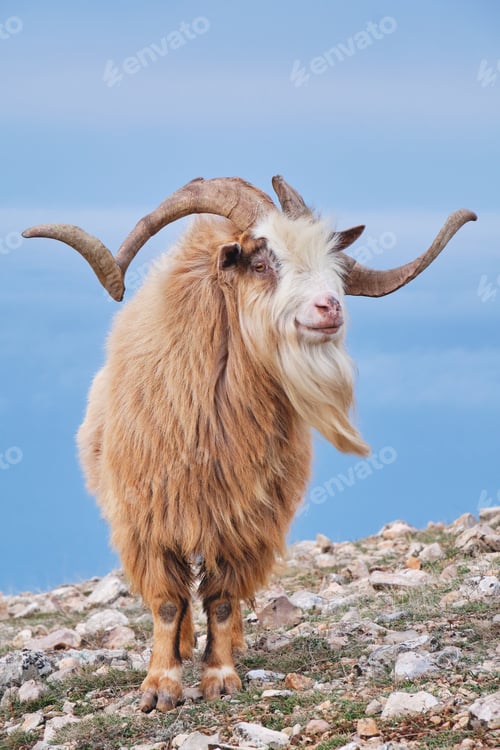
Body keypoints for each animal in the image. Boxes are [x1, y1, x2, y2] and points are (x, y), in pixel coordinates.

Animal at [23, 176, 476, 711]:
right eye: (260, 264)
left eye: (333, 265)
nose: (330, 307)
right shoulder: (150, 522)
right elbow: (167, 602)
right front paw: (160, 686)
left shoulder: (242, 524)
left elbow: (220, 601)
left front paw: (219, 677)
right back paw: (181, 650)